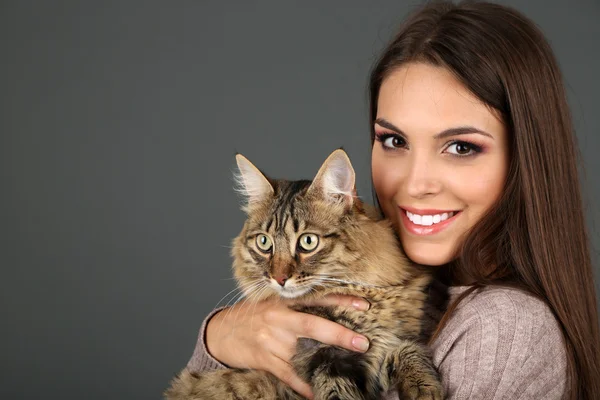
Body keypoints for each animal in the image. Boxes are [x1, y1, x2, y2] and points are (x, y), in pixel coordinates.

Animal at [164, 149, 446, 400]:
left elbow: (408, 350)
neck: (365, 295)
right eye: (264, 243)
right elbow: (337, 392)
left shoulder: (392, 341)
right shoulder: (323, 356)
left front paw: (425, 388)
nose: (279, 279)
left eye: (308, 242)